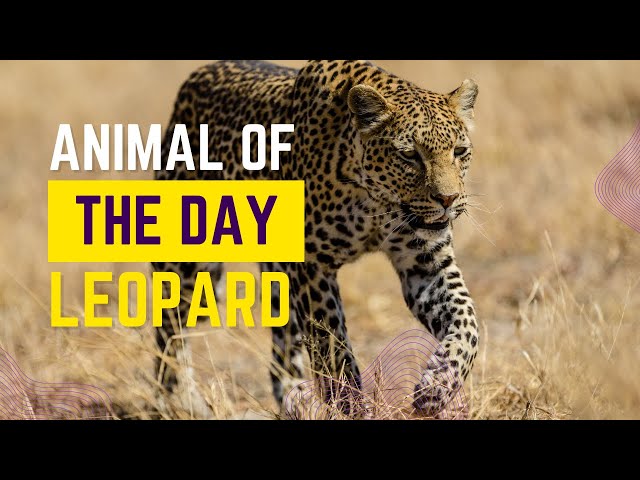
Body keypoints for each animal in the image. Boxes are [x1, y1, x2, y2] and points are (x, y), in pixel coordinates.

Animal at [153, 60, 480, 418]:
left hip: (278, 276)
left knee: (282, 349)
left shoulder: (425, 265)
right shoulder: (312, 267)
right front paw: (352, 407)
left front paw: (438, 385)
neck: (375, 201)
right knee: (169, 328)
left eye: (460, 152)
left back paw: (295, 400)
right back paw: (180, 401)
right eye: (409, 156)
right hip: (187, 260)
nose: (448, 199)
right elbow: (333, 347)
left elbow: (468, 321)